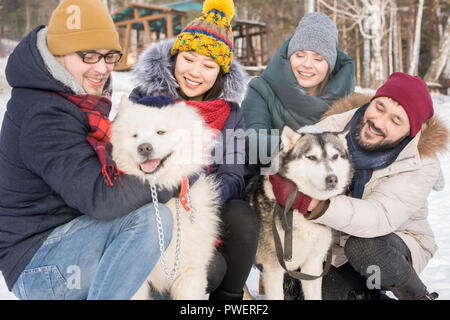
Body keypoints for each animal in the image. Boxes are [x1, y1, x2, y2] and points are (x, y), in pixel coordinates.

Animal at [244, 125, 354, 300]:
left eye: (335, 156)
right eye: (311, 157)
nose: (332, 179)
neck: (301, 213)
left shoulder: (313, 266)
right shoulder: (273, 270)